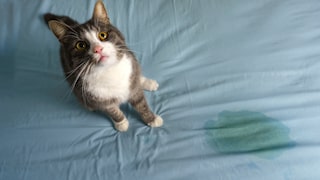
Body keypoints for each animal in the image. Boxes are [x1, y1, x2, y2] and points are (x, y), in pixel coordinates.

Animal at [43, 0, 164, 131]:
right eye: (80, 45)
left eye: (102, 35)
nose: (98, 49)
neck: (108, 70)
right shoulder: (97, 97)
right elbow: (112, 110)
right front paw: (121, 123)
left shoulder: (132, 81)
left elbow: (141, 103)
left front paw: (151, 118)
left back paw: (147, 82)